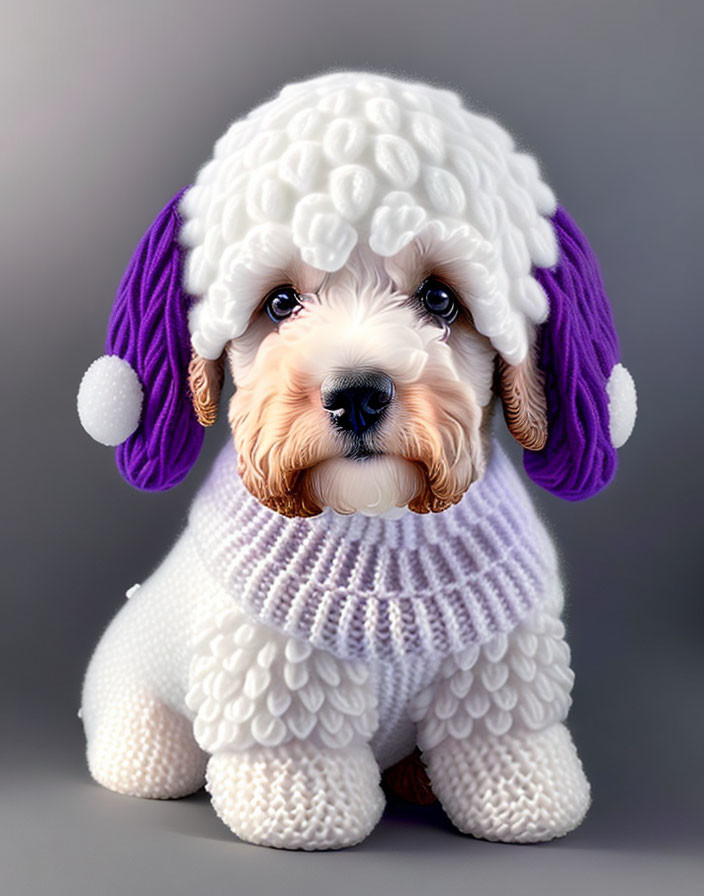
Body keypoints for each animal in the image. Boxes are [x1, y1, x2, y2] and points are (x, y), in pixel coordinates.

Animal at [78, 70, 640, 848]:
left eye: (441, 298)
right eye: (281, 303)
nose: (356, 395)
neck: (380, 528)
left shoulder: (495, 665)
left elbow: (503, 739)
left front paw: (530, 803)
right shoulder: (277, 671)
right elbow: (299, 755)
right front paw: (304, 815)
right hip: (138, 693)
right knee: (147, 743)